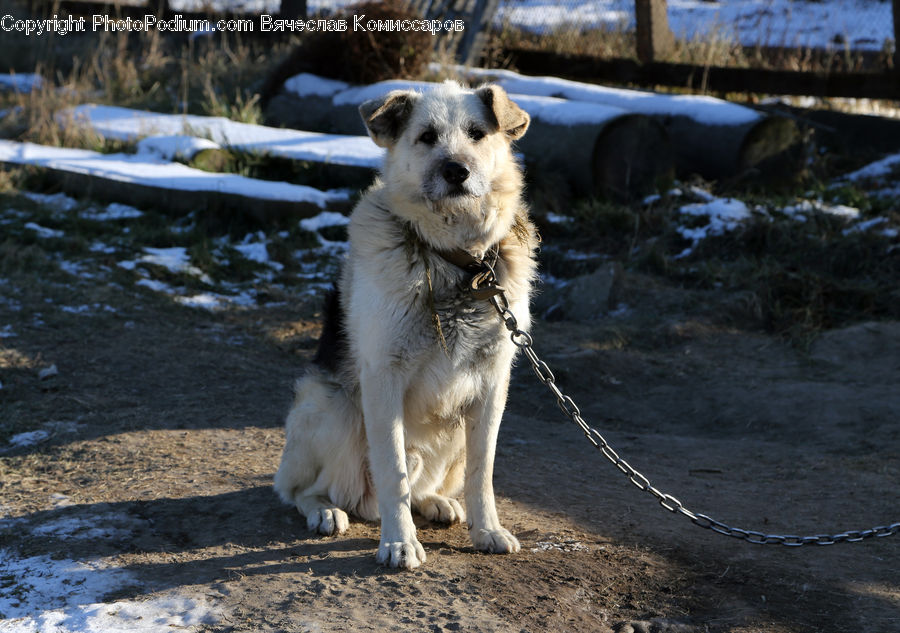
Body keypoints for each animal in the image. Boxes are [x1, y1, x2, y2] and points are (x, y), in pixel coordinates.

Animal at [274, 79, 536, 568]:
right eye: (426, 137)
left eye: (477, 134)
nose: (457, 171)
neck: (456, 262)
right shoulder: (383, 377)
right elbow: (393, 469)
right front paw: (399, 543)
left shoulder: (493, 384)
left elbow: (482, 471)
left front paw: (486, 530)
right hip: (336, 408)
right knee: (301, 489)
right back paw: (325, 511)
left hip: (451, 433)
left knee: (422, 486)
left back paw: (435, 502)